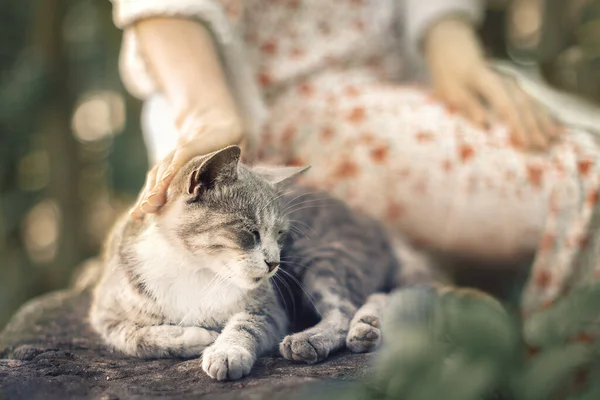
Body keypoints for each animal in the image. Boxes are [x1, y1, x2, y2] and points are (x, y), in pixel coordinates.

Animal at [89, 145, 434, 382]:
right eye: (250, 232)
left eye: (281, 234)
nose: (274, 263)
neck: (196, 269)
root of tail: (374, 223)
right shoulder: (105, 313)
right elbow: (134, 337)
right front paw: (197, 337)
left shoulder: (270, 309)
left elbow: (245, 325)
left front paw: (226, 350)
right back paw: (368, 327)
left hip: (322, 259)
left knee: (348, 306)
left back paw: (319, 337)